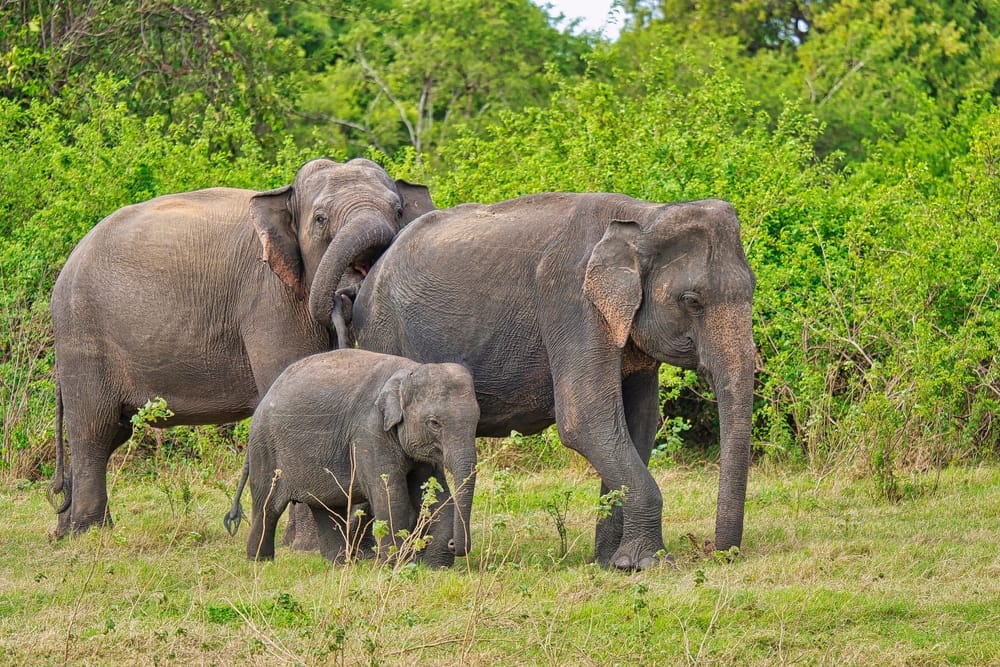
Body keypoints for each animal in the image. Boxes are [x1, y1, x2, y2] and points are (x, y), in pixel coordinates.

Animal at [48, 157, 434, 537]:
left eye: (399, 211)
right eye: (320, 219)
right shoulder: (268, 298)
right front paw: (305, 544)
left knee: (114, 430)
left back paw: (65, 530)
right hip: (82, 331)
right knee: (94, 429)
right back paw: (90, 532)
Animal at [224, 349, 479, 566]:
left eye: (477, 421)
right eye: (434, 423)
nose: (454, 544)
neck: (408, 372)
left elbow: (436, 493)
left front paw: (436, 567)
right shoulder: (369, 432)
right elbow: (390, 496)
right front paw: (394, 565)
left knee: (326, 507)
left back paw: (339, 564)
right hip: (265, 447)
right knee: (267, 507)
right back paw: (260, 561)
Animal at [350, 193, 756, 570]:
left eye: (752, 289)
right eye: (691, 300)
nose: (716, 551)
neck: (644, 216)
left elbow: (637, 425)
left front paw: (612, 564)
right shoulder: (573, 304)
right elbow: (586, 422)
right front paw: (647, 565)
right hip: (383, 331)